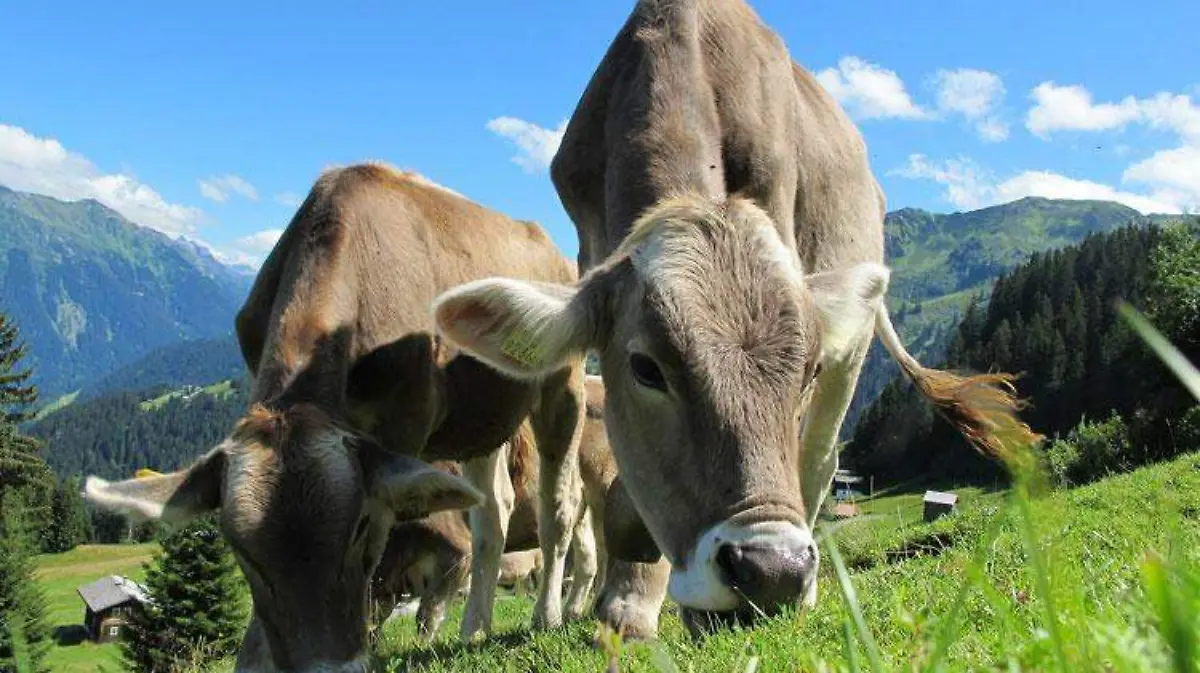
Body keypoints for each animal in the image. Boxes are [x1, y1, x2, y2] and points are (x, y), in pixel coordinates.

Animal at [82, 162, 588, 671]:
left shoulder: (403, 428)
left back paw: (548, 615)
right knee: (493, 511)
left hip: (564, 383)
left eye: (360, 526)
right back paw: (475, 628)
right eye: (240, 549)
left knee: (558, 507)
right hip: (481, 420)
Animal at [371, 376, 617, 641]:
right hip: (582, 509)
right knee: (589, 556)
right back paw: (573, 611)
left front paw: (427, 642)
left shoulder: (456, 551)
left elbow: (428, 612)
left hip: (603, 486)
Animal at [430, 0, 1037, 639]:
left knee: (821, 458)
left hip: (854, 345)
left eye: (806, 371)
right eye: (646, 368)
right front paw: (629, 602)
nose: (773, 570)